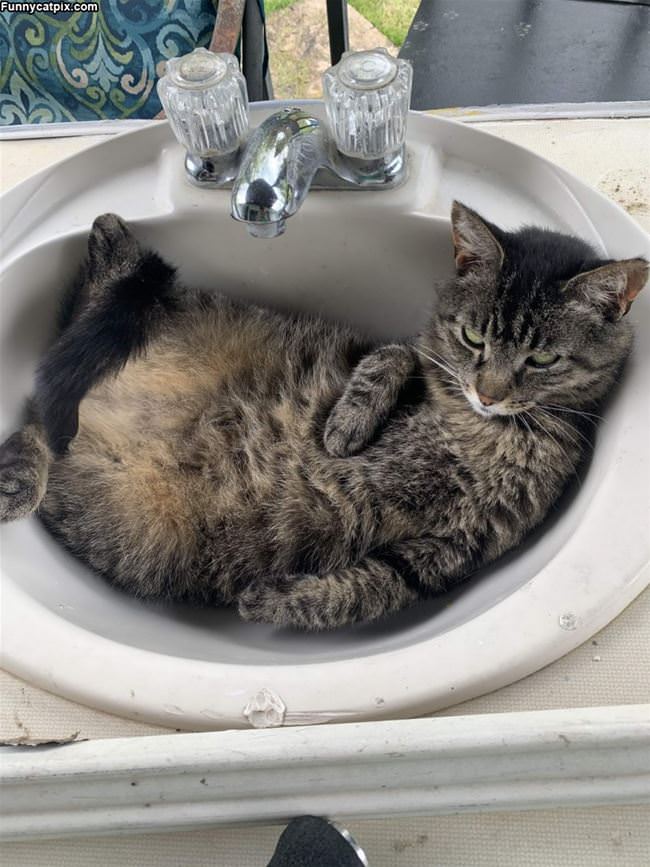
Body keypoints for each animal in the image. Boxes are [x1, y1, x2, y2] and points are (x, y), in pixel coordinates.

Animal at [0, 207, 644, 636]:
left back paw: (17, 478)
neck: (480, 427)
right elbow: (393, 355)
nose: (488, 392)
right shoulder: (402, 353)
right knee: (79, 335)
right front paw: (346, 425)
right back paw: (111, 240)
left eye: (542, 360)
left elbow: (360, 592)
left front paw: (271, 603)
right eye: (472, 337)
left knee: (39, 419)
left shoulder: (449, 551)